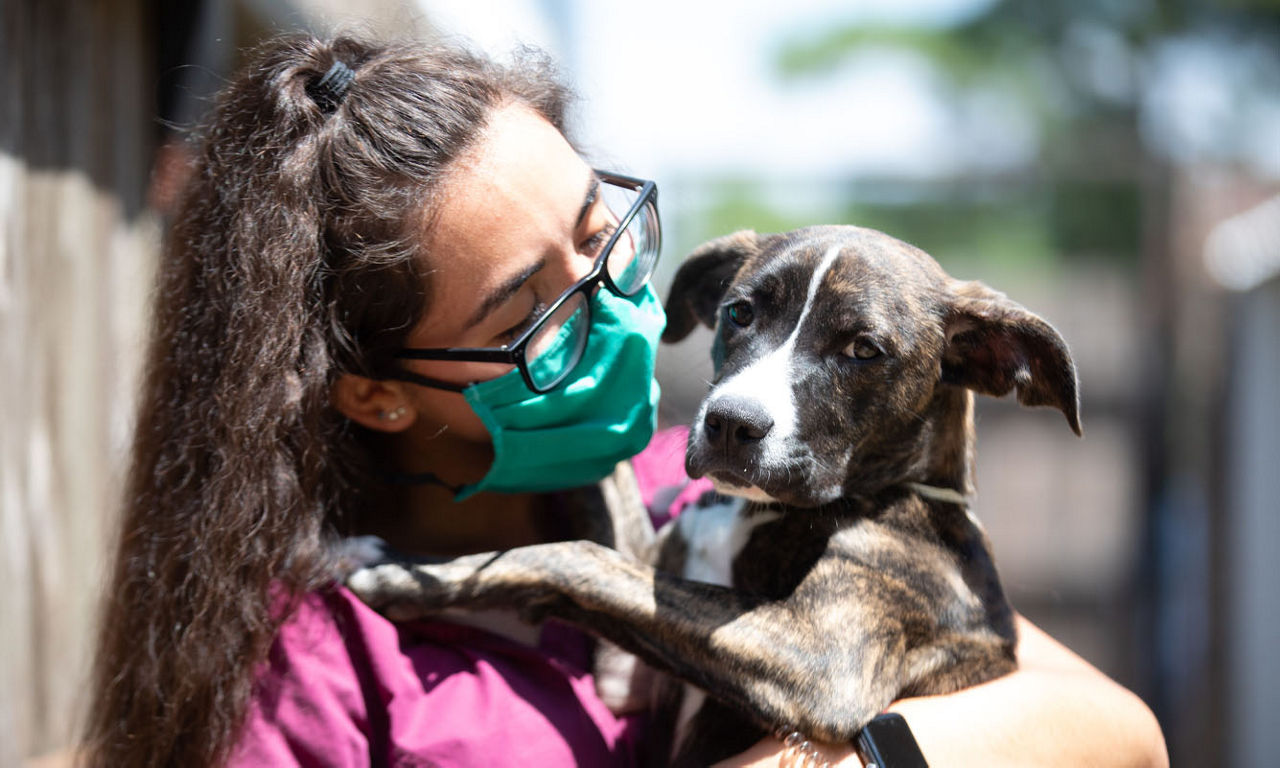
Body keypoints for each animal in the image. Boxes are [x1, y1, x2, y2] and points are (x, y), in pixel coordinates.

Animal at [348, 225, 1080, 762]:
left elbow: (575, 556)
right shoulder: (628, 663)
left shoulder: (824, 661)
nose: (730, 423)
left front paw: (408, 577)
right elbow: (603, 511)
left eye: (864, 350)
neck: (756, 511)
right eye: (740, 312)